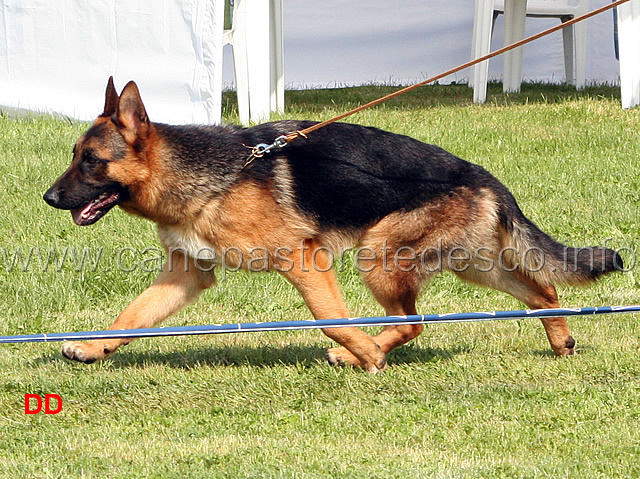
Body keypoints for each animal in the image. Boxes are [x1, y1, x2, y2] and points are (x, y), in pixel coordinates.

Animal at [43, 79, 620, 374]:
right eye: (75, 156)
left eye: (91, 161)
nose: (48, 198)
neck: (208, 175)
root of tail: (482, 175)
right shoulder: (187, 274)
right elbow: (131, 317)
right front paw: (92, 349)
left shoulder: (304, 260)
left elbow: (331, 319)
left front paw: (364, 354)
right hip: (471, 265)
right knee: (542, 290)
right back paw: (561, 343)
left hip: (380, 256)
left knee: (414, 322)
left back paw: (364, 353)